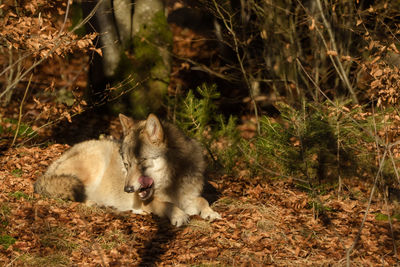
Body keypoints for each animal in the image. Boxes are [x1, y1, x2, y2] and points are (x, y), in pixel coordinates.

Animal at [33, 114, 222, 227]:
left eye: (141, 162)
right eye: (126, 164)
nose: (128, 189)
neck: (173, 183)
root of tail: (48, 170)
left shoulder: (188, 197)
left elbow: (203, 200)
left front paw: (210, 213)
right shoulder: (149, 202)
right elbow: (166, 205)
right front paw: (178, 215)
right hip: (97, 159)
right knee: (77, 197)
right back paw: (100, 204)